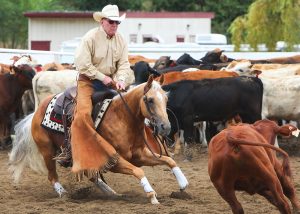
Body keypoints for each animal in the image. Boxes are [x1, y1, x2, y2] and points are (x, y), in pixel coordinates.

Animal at [9, 75, 189, 204]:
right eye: (150, 100)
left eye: (165, 99)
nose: (165, 127)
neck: (122, 119)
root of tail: (36, 112)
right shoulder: (114, 159)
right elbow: (139, 171)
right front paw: (151, 195)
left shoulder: (138, 155)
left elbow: (169, 160)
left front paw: (183, 184)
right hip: (47, 150)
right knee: (52, 175)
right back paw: (63, 193)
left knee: (92, 175)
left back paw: (112, 193)